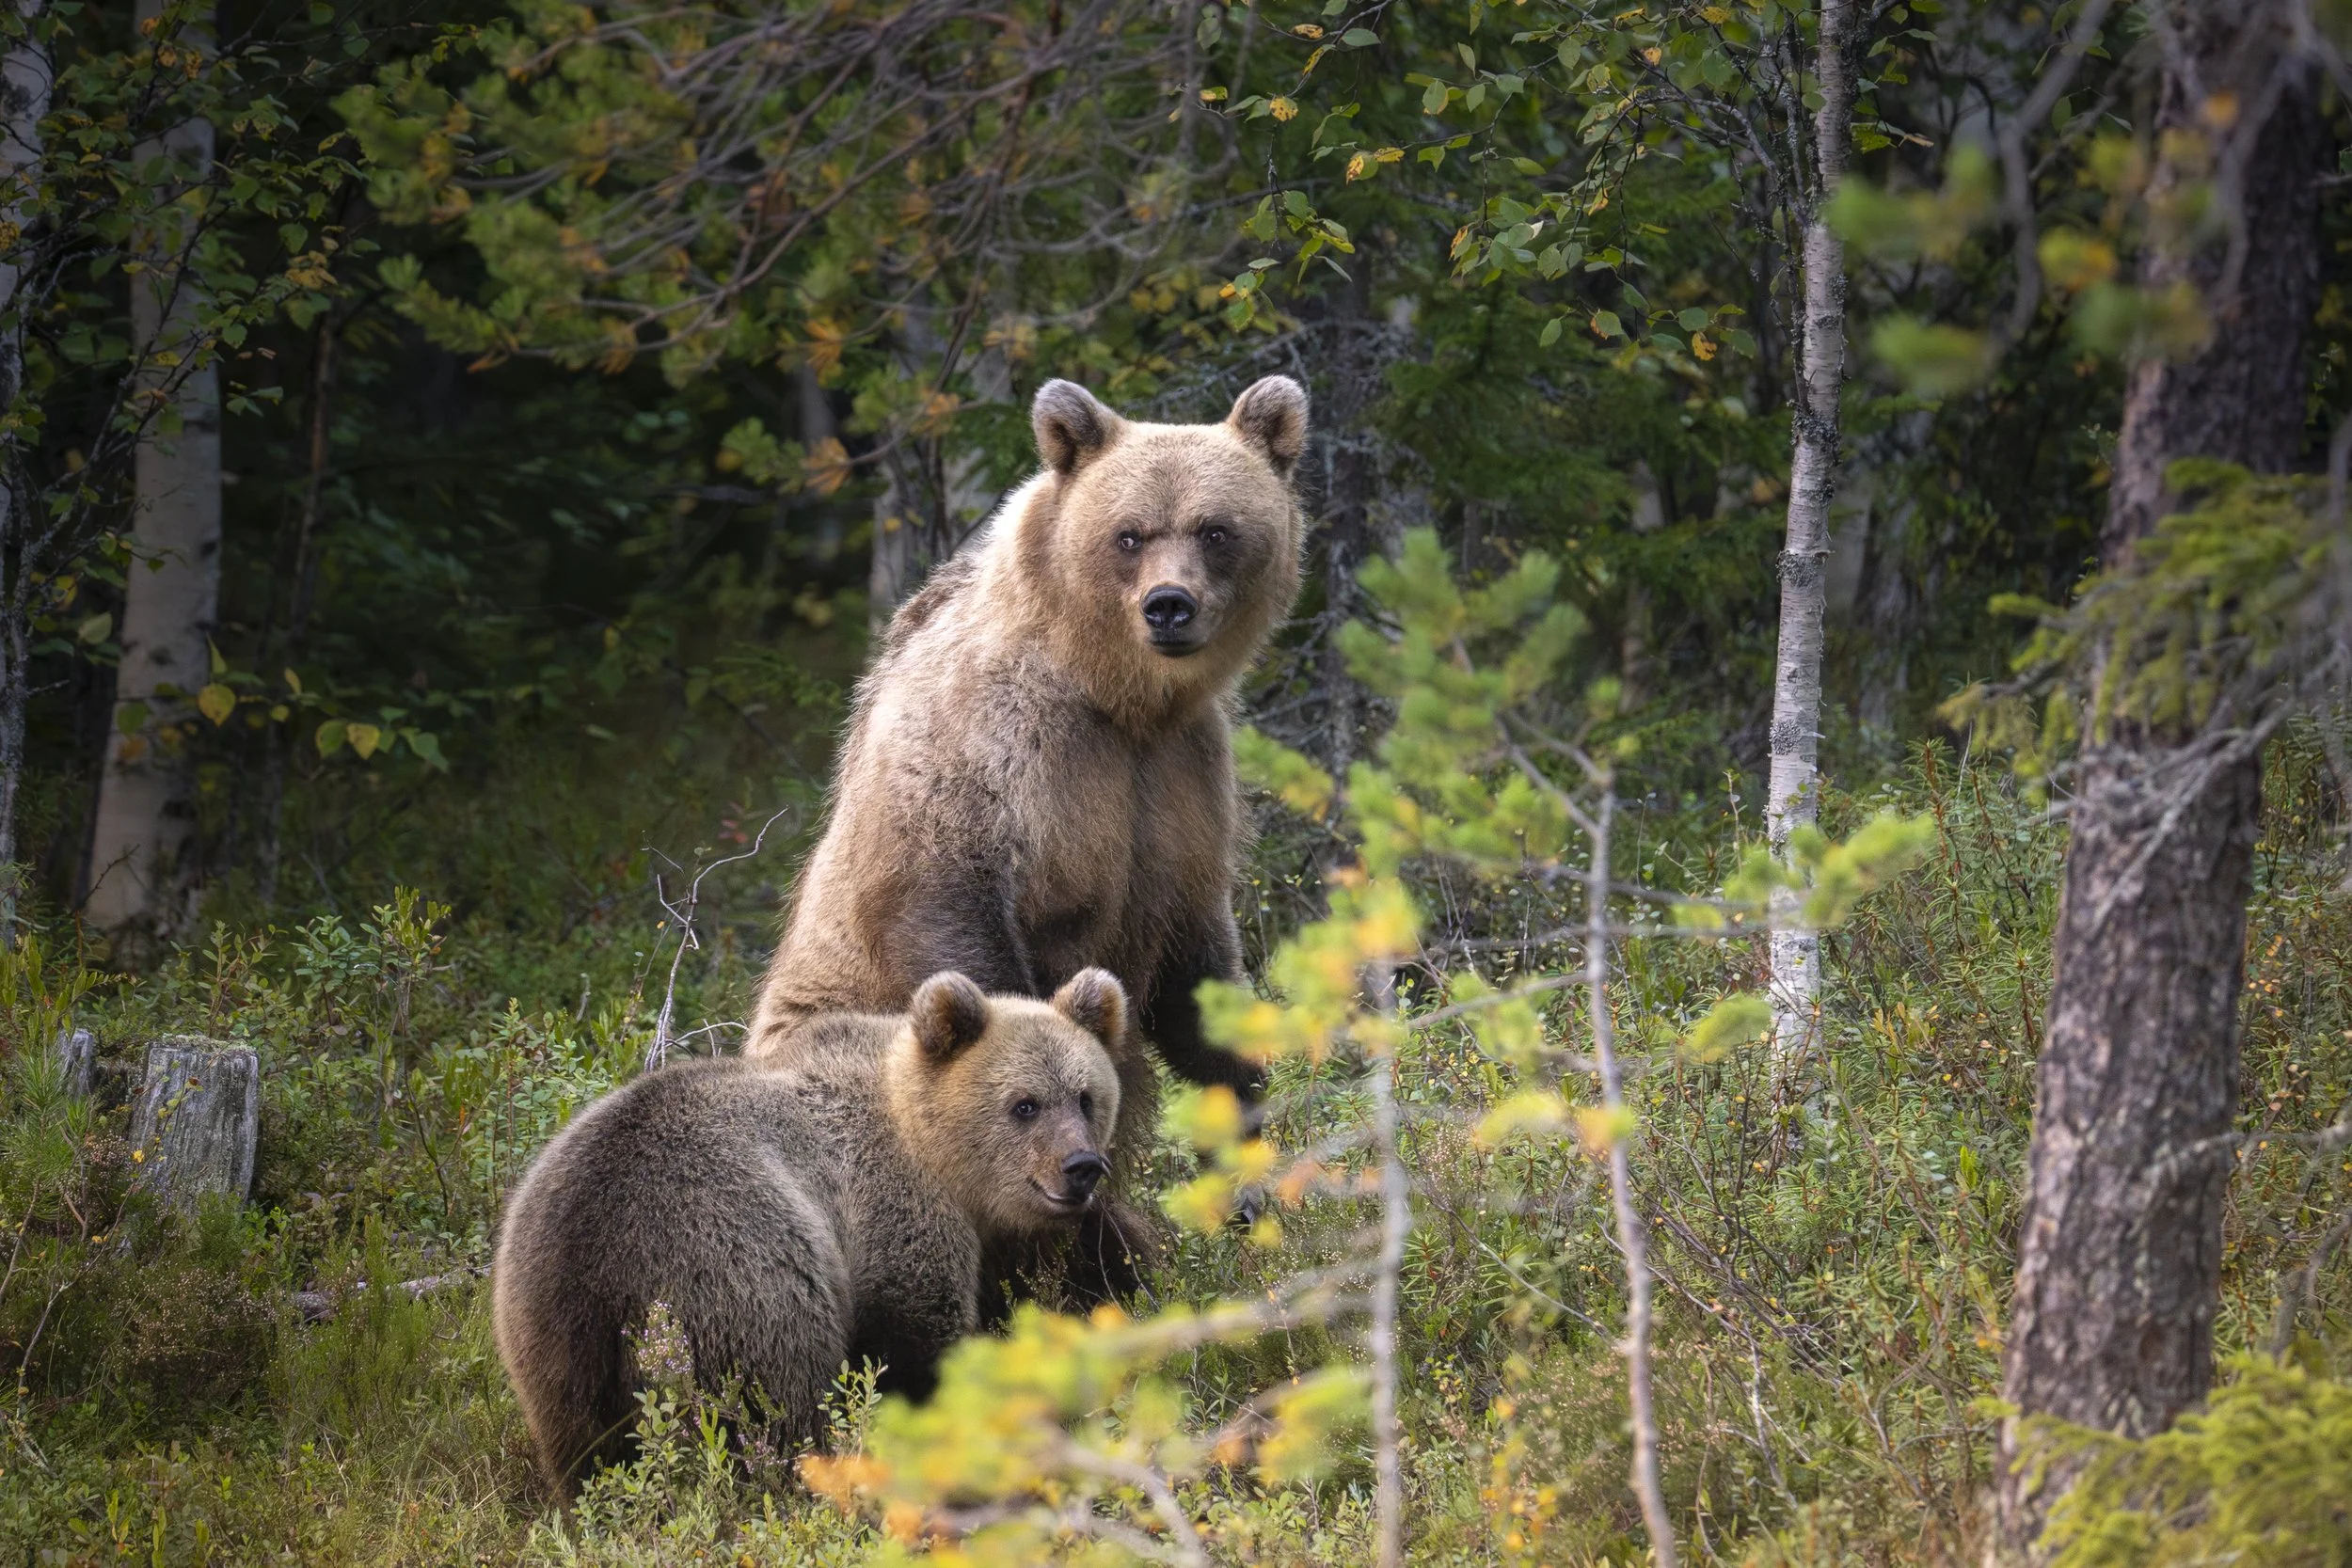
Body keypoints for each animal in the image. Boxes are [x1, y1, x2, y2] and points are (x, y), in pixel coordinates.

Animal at [491, 968, 1130, 1494]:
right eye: (1024, 1104)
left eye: (1085, 1097)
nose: (1081, 1166)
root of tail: (601, 1264)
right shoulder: (891, 1208)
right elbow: (912, 1339)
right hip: (735, 1268)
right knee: (777, 1398)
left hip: (549, 1325)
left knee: (583, 1441)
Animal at [744, 376, 1310, 1255]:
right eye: (1128, 533)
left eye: (1216, 529)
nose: (1169, 606)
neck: (1115, 696)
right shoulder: (997, 755)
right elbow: (947, 913)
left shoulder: (1182, 785)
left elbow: (1198, 969)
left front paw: (1249, 1162)